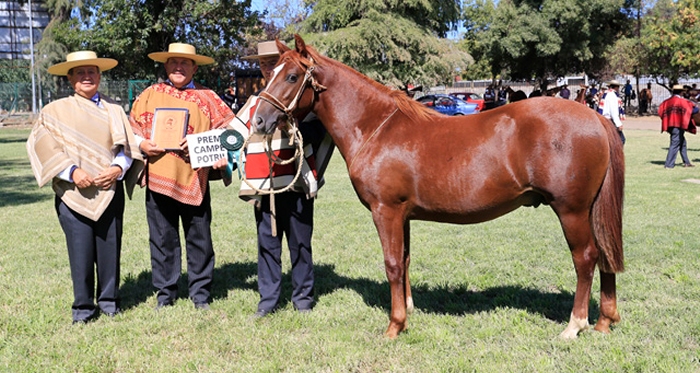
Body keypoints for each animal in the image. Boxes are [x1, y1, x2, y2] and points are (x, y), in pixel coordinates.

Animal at [254, 36, 628, 338]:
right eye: (268, 75)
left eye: (291, 76)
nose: (259, 120)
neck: (376, 128)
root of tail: (595, 117)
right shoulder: (403, 215)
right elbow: (404, 260)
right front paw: (408, 311)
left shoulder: (385, 211)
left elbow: (392, 264)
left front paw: (394, 326)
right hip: (590, 210)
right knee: (604, 254)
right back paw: (604, 321)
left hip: (572, 210)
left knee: (586, 258)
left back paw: (574, 326)